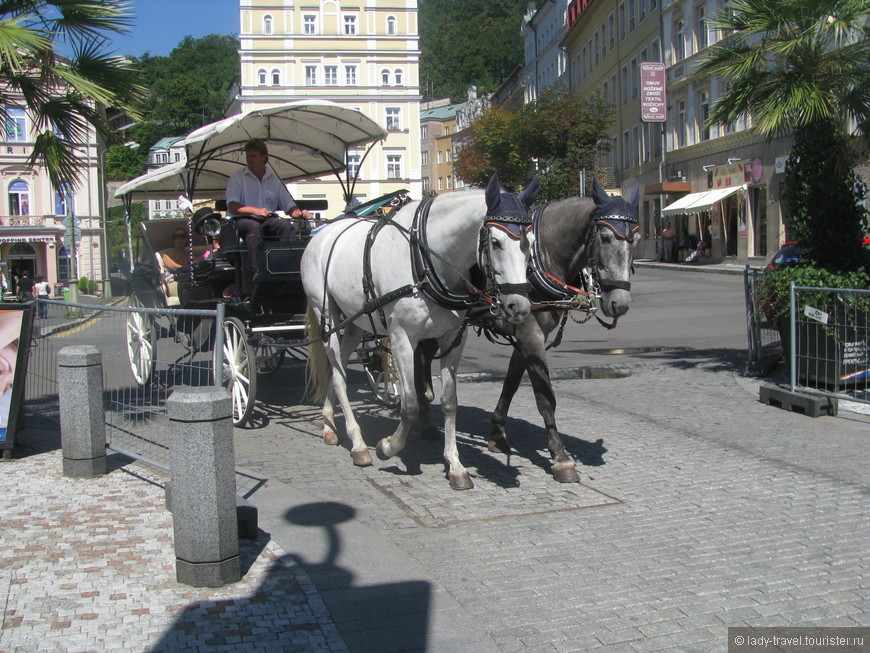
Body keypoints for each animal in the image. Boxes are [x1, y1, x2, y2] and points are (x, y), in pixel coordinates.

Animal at [304, 174, 540, 488]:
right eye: (496, 242)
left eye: (531, 243)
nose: (519, 306)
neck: (427, 262)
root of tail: (321, 232)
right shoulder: (402, 339)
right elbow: (410, 405)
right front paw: (388, 447)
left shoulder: (453, 338)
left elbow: (450, 403)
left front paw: (455, 465)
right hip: (327, 316)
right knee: (339, 375)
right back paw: (358, 444)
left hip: (354, 323)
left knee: (335, 368)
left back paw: (329, 426)